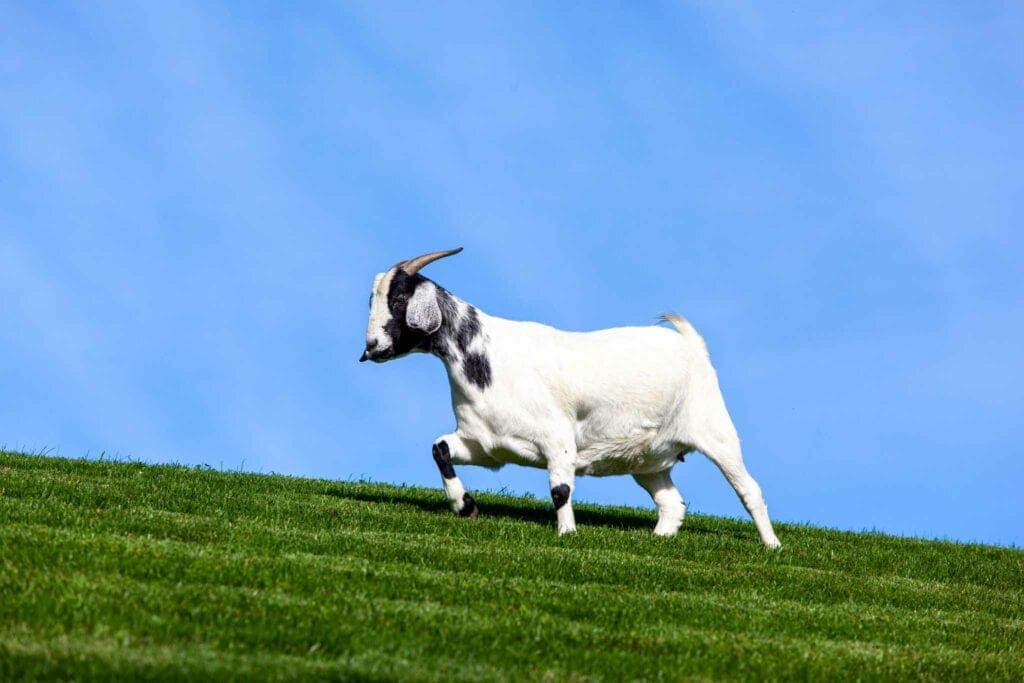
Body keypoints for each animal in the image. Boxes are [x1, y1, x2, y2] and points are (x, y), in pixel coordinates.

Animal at [360, 248, 781, 547]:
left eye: (398, 301)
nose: (372, 348)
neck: (487, 359)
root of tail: (691, 343)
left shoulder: (558, 438)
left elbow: (560, 489)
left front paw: (567, 535)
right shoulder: (486, 444)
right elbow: (440, 449)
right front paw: (466, 506)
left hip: (715, 431)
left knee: (749, 489)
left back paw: (771, 545)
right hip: (649, 458)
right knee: (671, 503)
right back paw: (658, 540)